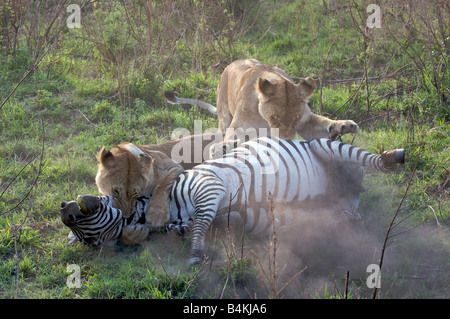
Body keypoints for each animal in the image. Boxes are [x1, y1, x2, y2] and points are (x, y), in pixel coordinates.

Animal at [60, 138, 404, 264]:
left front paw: (194, 251)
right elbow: (196, 225)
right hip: (337, 205)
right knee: (348, 213)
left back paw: (393, 157)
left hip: (327, 146)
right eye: (88, 241)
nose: (66, 211)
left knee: (367, 158)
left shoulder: (205, 185)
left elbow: (198, 222)